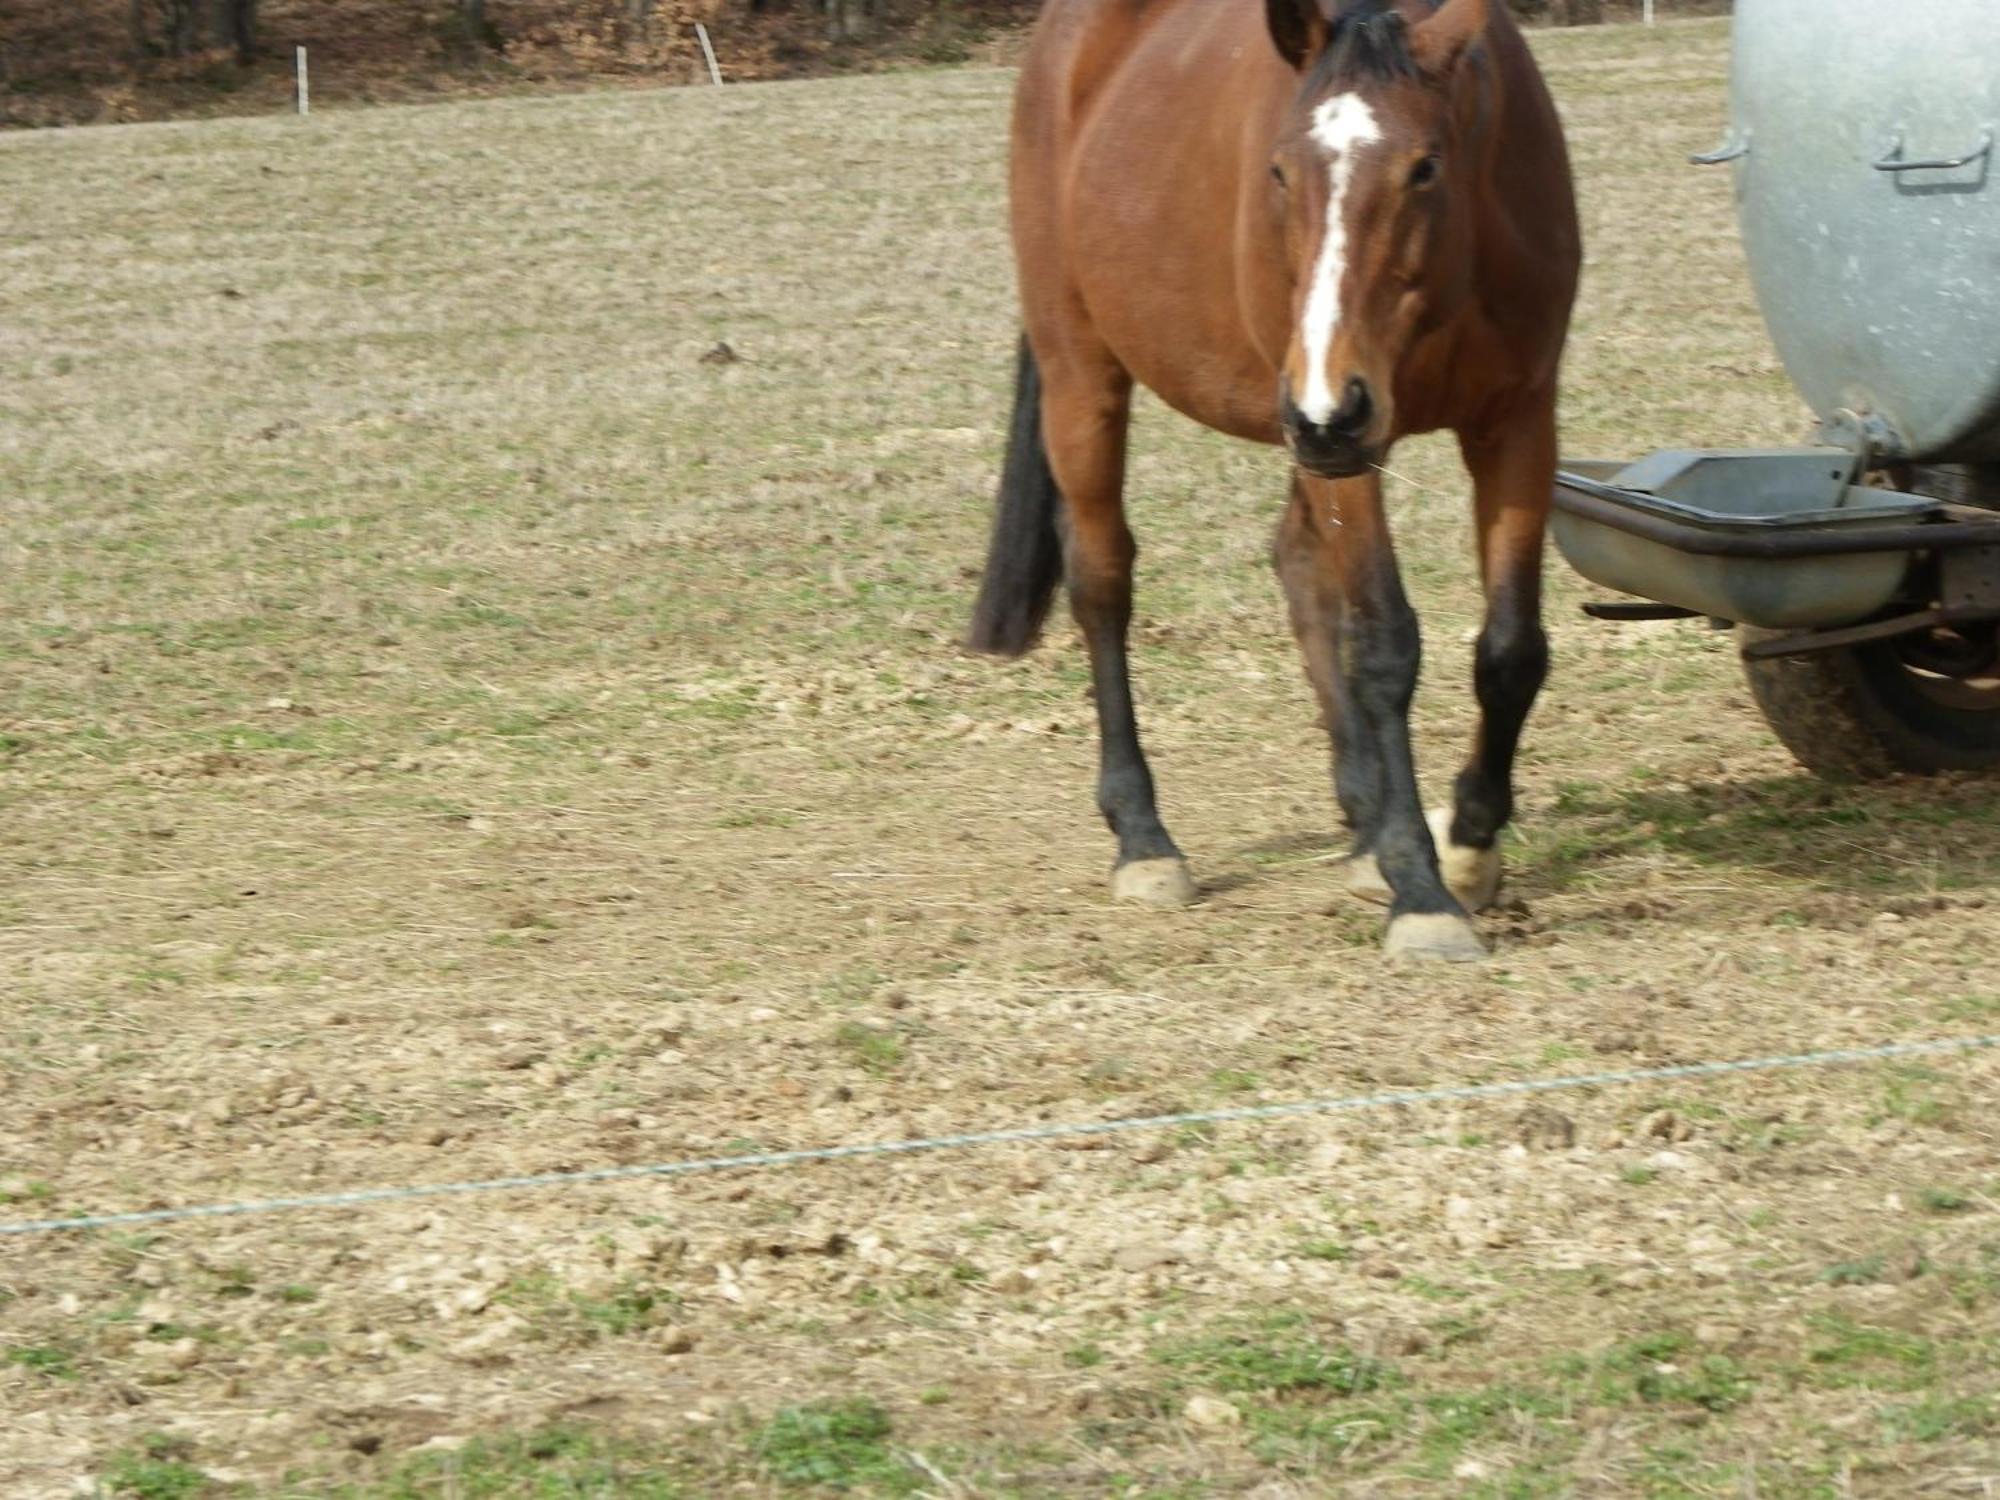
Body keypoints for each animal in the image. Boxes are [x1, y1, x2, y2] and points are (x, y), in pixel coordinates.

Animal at [968, 0, 1576, 964]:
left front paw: (1470, 845)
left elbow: (1512, 649)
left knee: (1298, 564)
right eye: (1281, 171)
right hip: (1091, 381)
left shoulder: (1516, 424)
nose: (1330, 406)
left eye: (1425, 166)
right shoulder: (1344, 443)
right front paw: (1423, 890)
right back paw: (1144, 838)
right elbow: (1385, 645)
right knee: (1102, 583)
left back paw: (1363, 826)